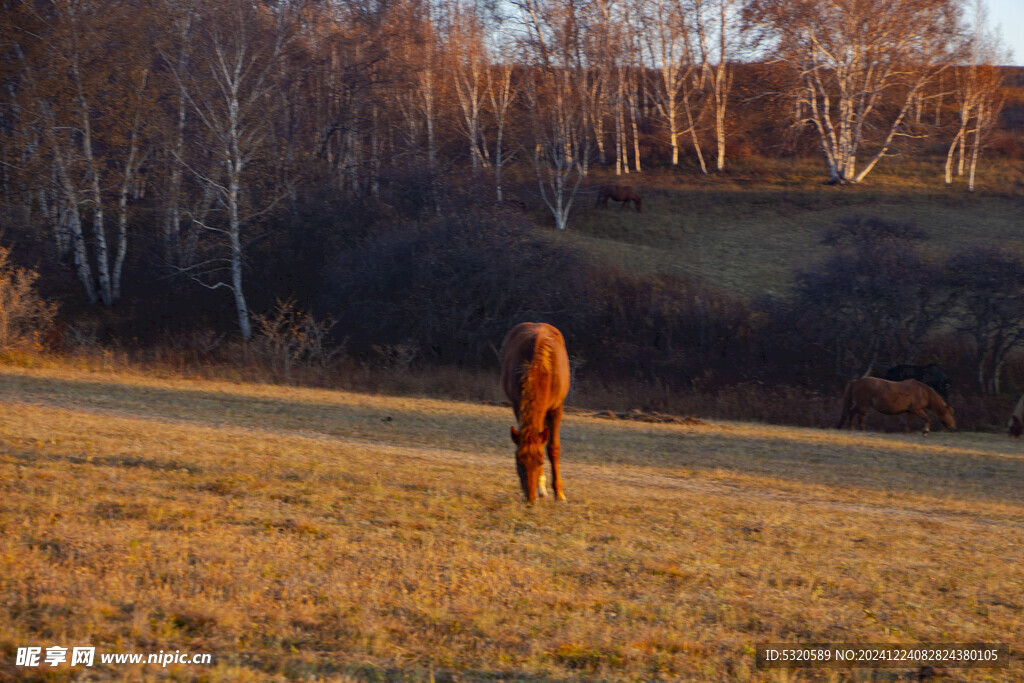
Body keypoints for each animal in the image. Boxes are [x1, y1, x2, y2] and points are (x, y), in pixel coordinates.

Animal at [499, 321, 573, 501]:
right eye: (518, 462)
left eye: (540, 461)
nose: (530, 499)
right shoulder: (517, 405)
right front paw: (541, 486)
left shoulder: (556, 408)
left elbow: (553, 448)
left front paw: (559, 493)